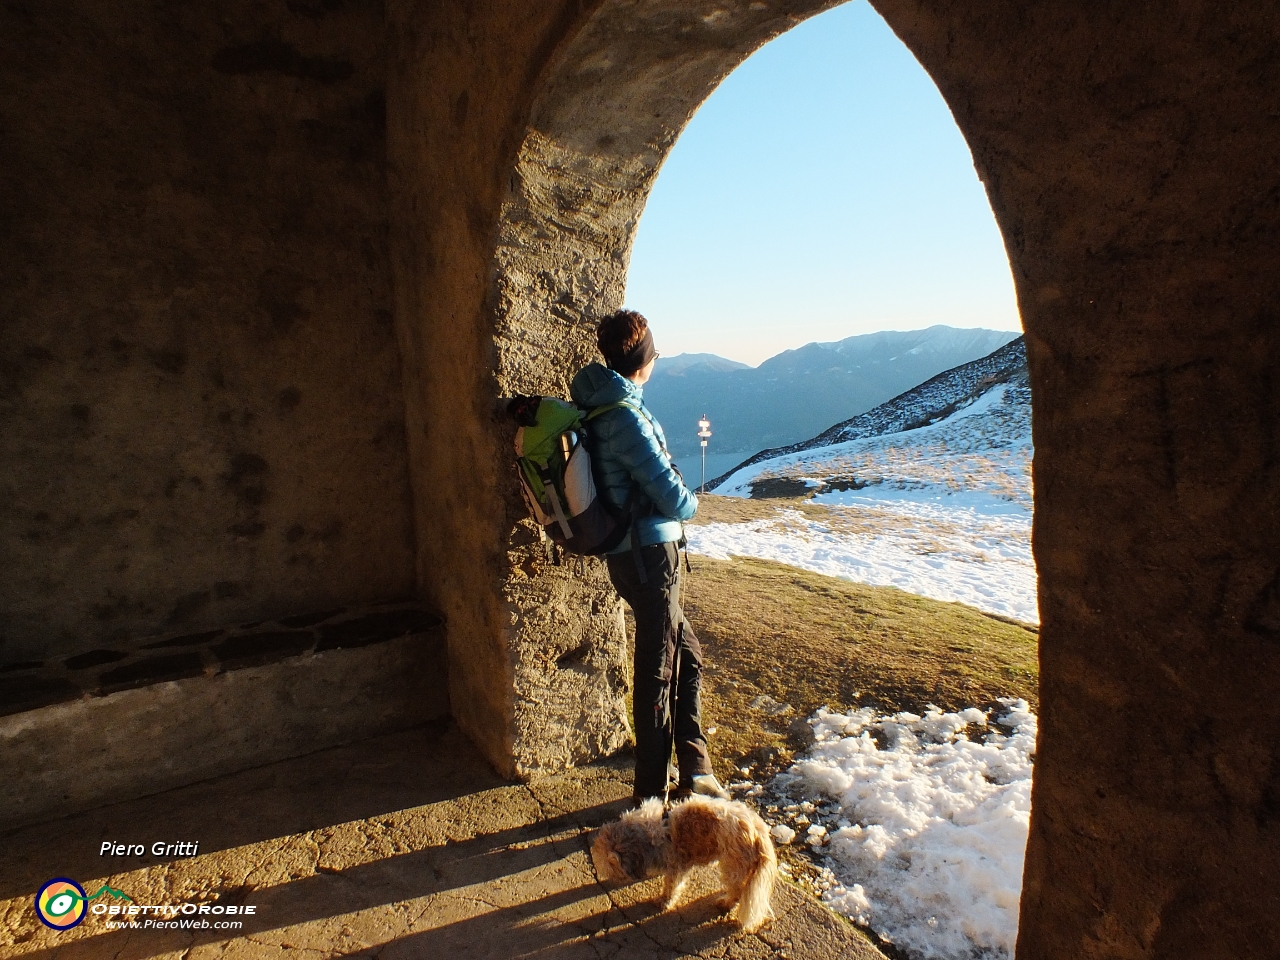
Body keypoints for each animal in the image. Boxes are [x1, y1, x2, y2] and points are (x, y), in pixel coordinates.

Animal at [591, 793, 778, 936]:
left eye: (613, 870)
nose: (613, 880)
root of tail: (759, 831)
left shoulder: (675, 868)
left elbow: (670, 887)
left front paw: (664, 902)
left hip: (731, 867)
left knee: (737, 892)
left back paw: (724, 903)